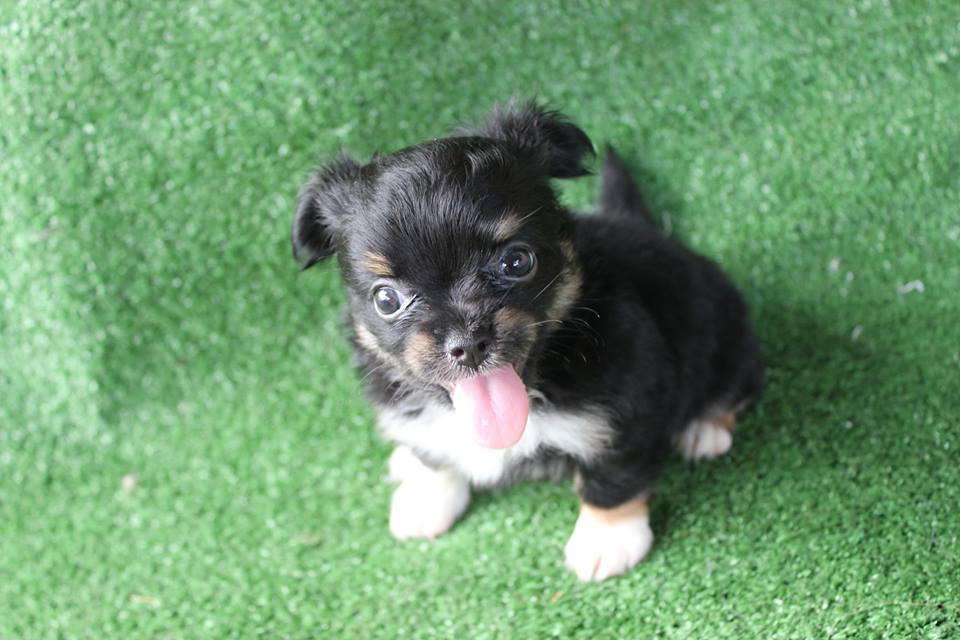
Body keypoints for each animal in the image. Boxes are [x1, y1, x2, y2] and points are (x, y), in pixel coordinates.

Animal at [291, 101, 764, 581]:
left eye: (516, 262)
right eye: (387, 299)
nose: (468, 343)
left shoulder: (627, 408)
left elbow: (612, 478)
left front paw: (607, 538)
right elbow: (436, 458)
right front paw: (427, 497)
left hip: (728, 335)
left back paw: (704, 430)